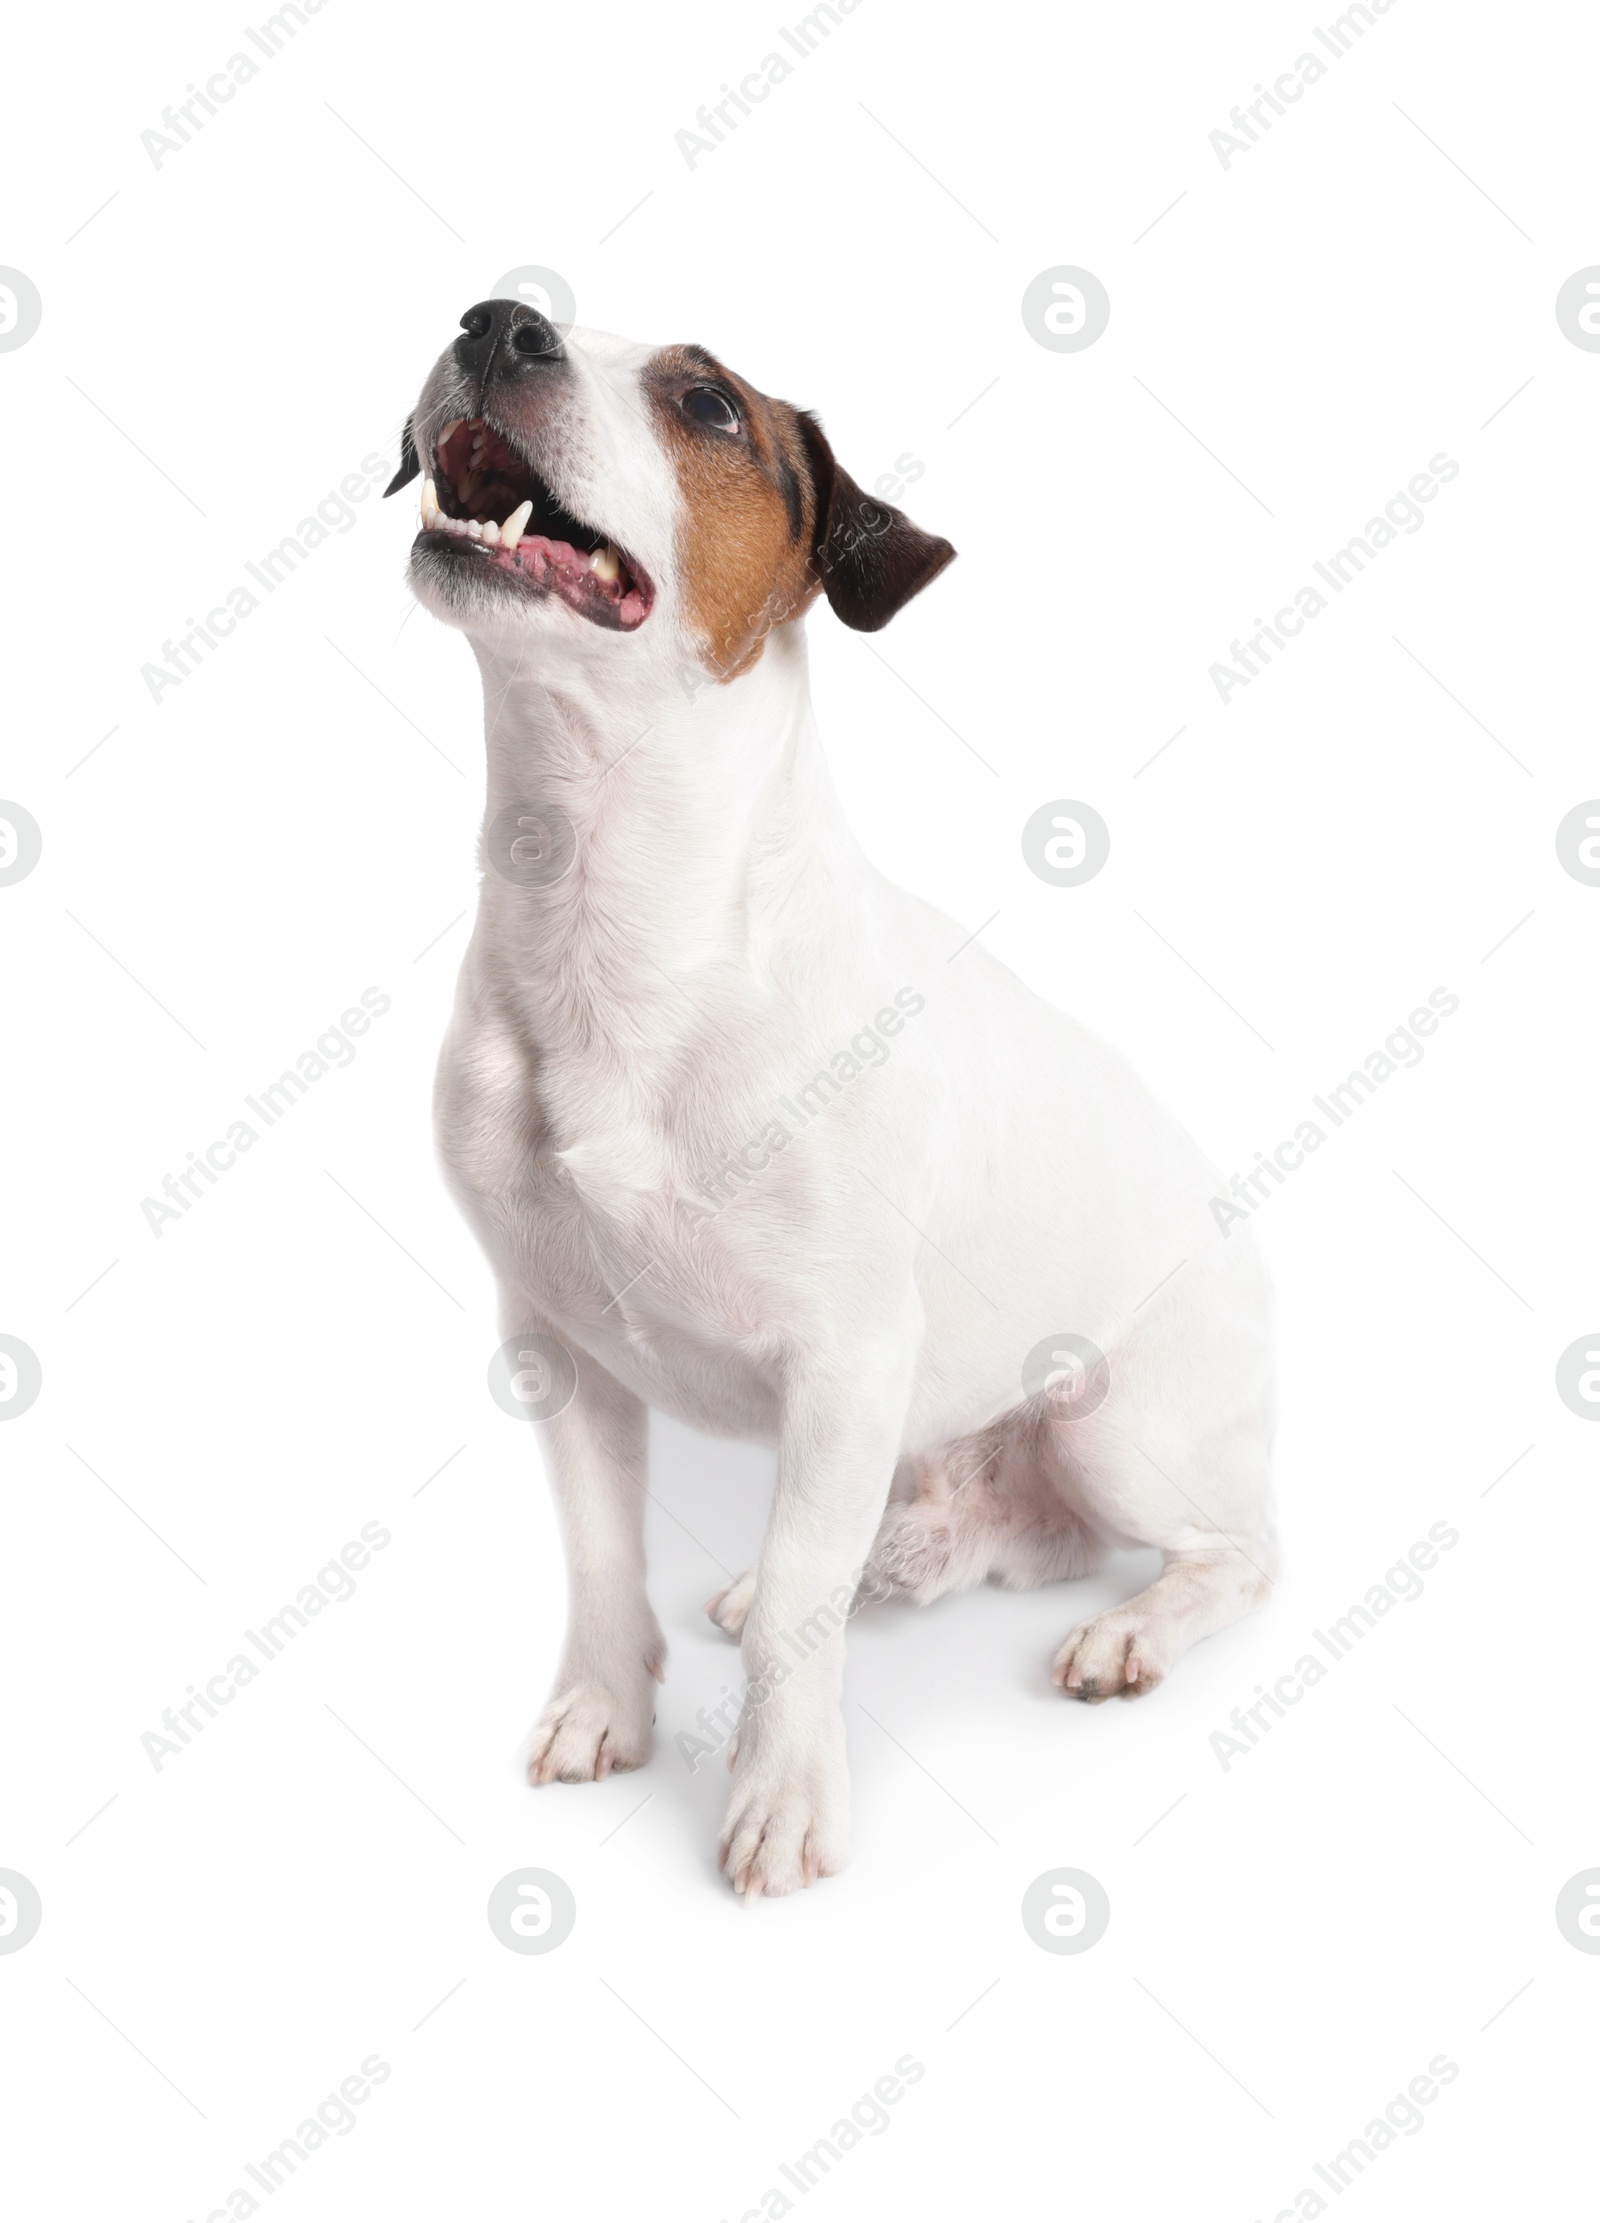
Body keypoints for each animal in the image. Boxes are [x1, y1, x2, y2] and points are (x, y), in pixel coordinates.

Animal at [384, 295, 1271, 1893]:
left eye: (706, 405)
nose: (501, 320)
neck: (612, 914)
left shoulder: (843, 1357)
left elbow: (804, 1594)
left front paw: (783, 1795)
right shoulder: (559, 1347)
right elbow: (605, 1557)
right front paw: (604, 1705)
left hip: (1115, 1426)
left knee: (1237, 1553)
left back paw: (1128, 1628)